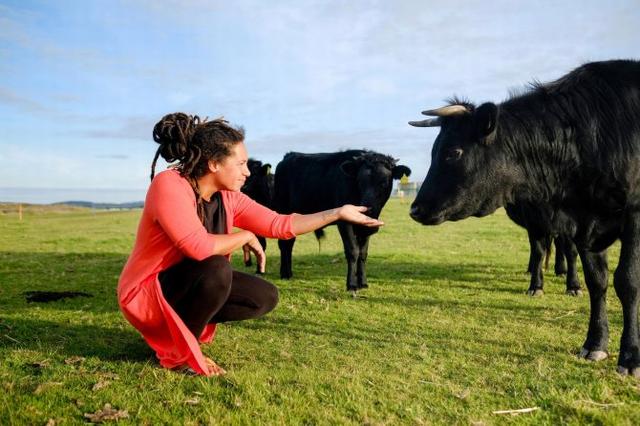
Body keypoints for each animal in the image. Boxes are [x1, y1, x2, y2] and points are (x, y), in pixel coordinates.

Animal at [274, 150, 410, 292]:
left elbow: (363, 254)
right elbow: (353, 251)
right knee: (284, 243)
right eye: (359, 181)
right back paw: (285, 273)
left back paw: (289, 273)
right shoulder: (345, 223)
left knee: (289, 242)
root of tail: (289, 155)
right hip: (282, 209)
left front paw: (363, 283)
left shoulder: (365, 228)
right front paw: (351, 285)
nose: (367, 208)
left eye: (384, 182)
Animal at [410, 59, 640, 376]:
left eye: (453, 152)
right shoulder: (578, 224)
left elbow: (627, 281)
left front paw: (630, 356)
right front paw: (594, 343)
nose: (415, 209)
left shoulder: (632, 216)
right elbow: (596, 280)